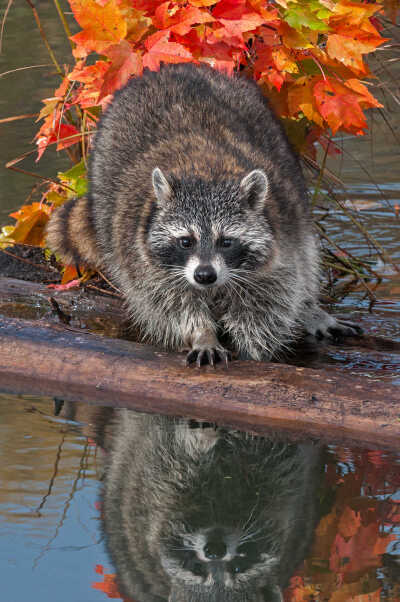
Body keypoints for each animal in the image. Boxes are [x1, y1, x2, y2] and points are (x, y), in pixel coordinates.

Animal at [45, 62, 360, 360]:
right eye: (186, 241)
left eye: (226, 241)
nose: (204, 275)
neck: (205, 173)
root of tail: (170, 68)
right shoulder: (144, 260)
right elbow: (172, 303)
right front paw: (201, 334)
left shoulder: (277, 246)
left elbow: (267, 304)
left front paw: (255, 351)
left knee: (306, 257)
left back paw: (309, 308)